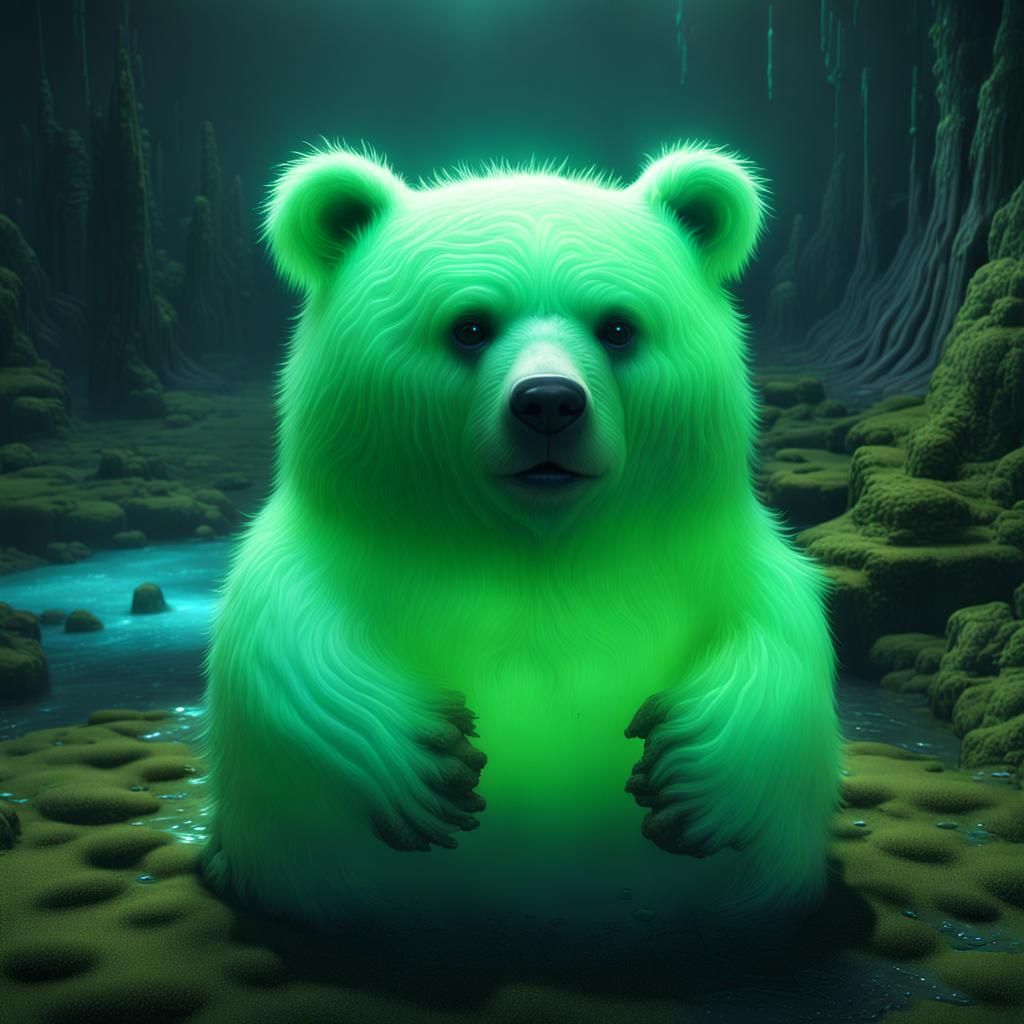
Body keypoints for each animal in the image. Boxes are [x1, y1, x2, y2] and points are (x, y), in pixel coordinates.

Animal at [197, 140, 843, 934]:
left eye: (618, 326)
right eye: (470, 326)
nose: (549, 403)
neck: (535, 548)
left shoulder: (709, 549)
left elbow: (781, 636)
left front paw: (690, 772)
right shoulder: (338, 545)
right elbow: (282, 644)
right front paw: (429, 757)